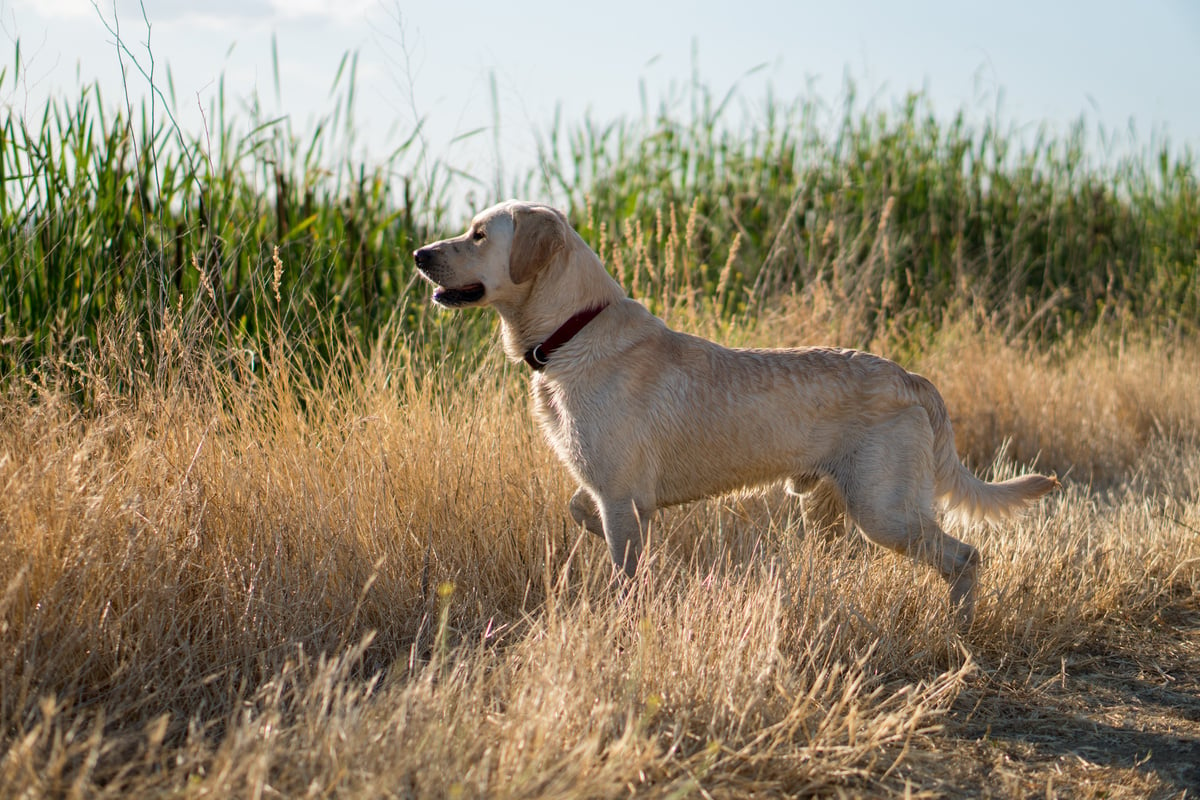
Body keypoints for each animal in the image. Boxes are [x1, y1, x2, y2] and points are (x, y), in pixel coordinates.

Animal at [415, 200, 1060, 623]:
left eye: (478, 235)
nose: (418, 254)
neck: (573, 330)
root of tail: (910, 376)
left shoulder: (621, 495)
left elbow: (623, 573)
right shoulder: (616, 495)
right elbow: (583, 512)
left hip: (885, 511)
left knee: (966, 556)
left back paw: (959, 632)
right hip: (838, 507)